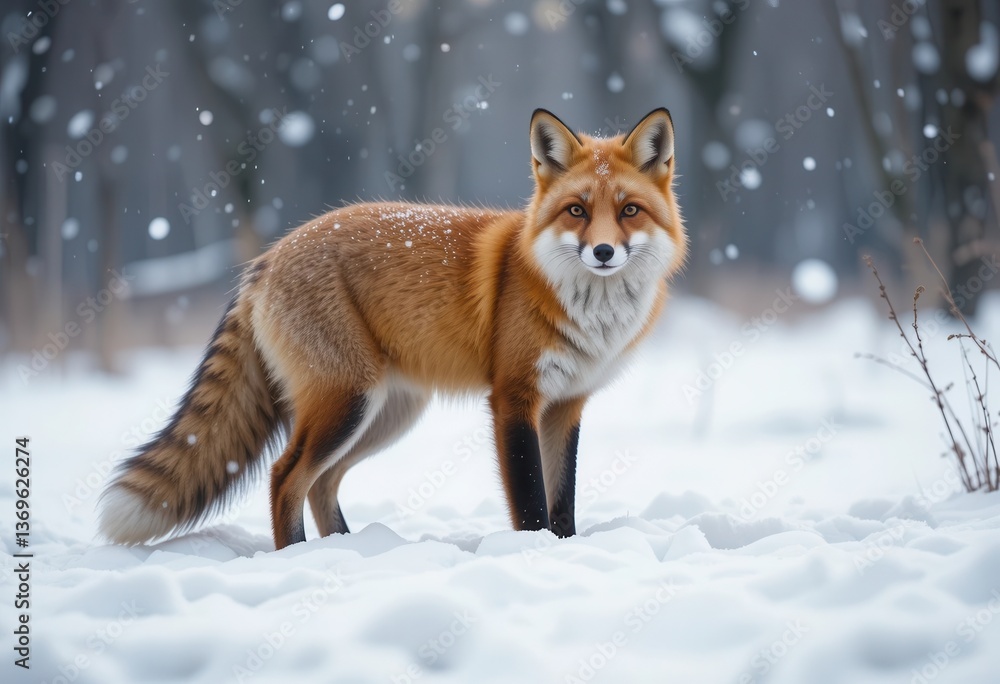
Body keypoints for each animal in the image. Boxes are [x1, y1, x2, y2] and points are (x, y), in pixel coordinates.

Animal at [99, 108, 687, 550]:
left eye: (629, 211)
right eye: (577, 211)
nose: (604, 252)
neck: (587, 313)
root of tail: (267, 257)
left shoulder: (566, 405)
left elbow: (562, 503)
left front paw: (563, 553)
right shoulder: (513, 398)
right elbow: (530, 504)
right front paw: (533, 555)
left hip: (386, 414)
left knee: (321, 484)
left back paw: (345, 550)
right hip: (348, 401)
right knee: (286, 477)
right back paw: (297, 558)